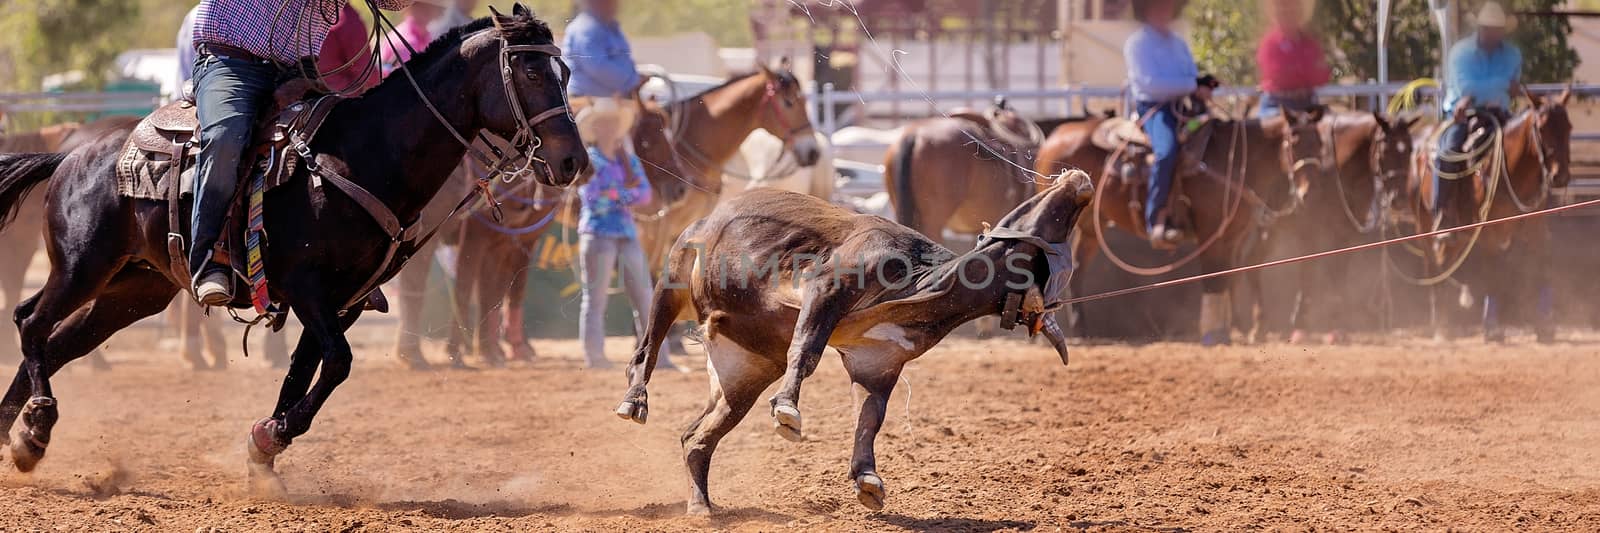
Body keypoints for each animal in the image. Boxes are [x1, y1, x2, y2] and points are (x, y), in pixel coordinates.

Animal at [617, 168, 1094, 512]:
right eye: (1049, 216)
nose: (1081, 182)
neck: (919, 283)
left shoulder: (877, 364)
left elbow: (870, 415)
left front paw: (868, 479)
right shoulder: (828, 288)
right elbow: (807, 349)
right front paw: (787, 409)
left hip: (745, 372)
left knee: (697, 437)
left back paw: (701, 505)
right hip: (674, 278)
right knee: (645, 350)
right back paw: (634, 401)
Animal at [1036, 107, 1324, 344]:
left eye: (1321, 143)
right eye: (1294, 141)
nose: (1309, 193)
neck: (1232, 162)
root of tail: (1054, 137)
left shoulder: (1232, 237)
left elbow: (1230, 277)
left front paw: (1236, 328)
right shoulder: (1210, 234)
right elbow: (1214, 279)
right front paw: (1214, 333)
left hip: (1090, 227)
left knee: (1078, 267)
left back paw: (1081, 330)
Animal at [1414, 89, 1574, 342]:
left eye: (1568, 127)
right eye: (1541, 128)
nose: (1560, 176)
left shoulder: (1536, 229)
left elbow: (1542, 266)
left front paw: (1544, 325)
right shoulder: (1490, 232)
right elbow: (1494, 271)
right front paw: (1492, 328)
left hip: (1460, 236)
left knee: (1445, 261)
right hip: (1425, 226)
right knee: (1434, 266)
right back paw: (1439, 324)